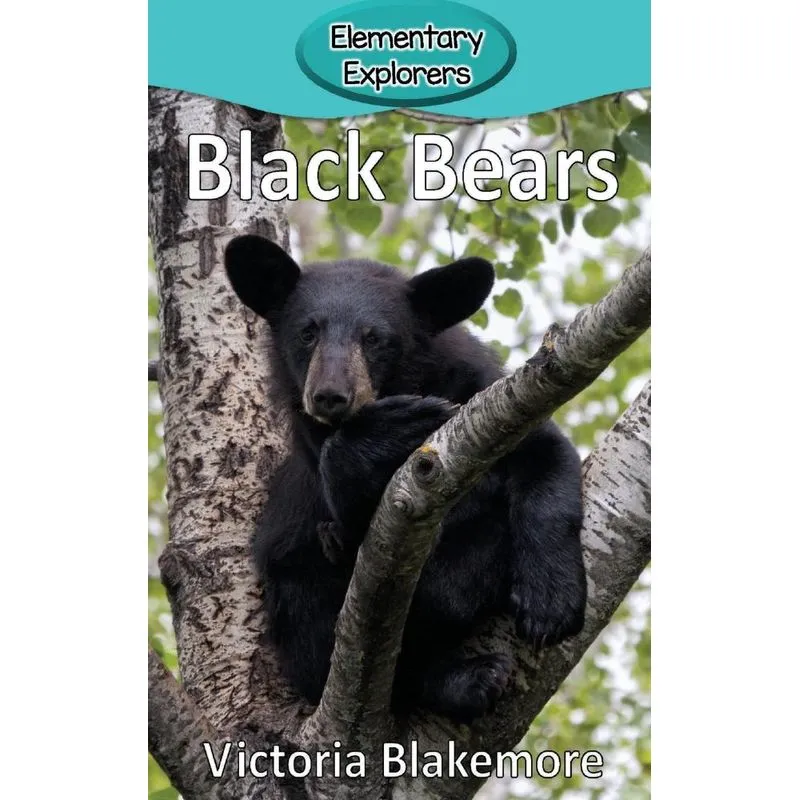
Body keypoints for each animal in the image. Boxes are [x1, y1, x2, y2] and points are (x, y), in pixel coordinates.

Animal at [224, 233, 587, 723]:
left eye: (375, 338)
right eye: (307, 332)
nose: (330, 396)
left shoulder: (488, 398)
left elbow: (546, 457)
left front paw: (551, 604)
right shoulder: (313, 460)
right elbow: (354, 514)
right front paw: (390, 429)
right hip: (293, 587)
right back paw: (469, 679)